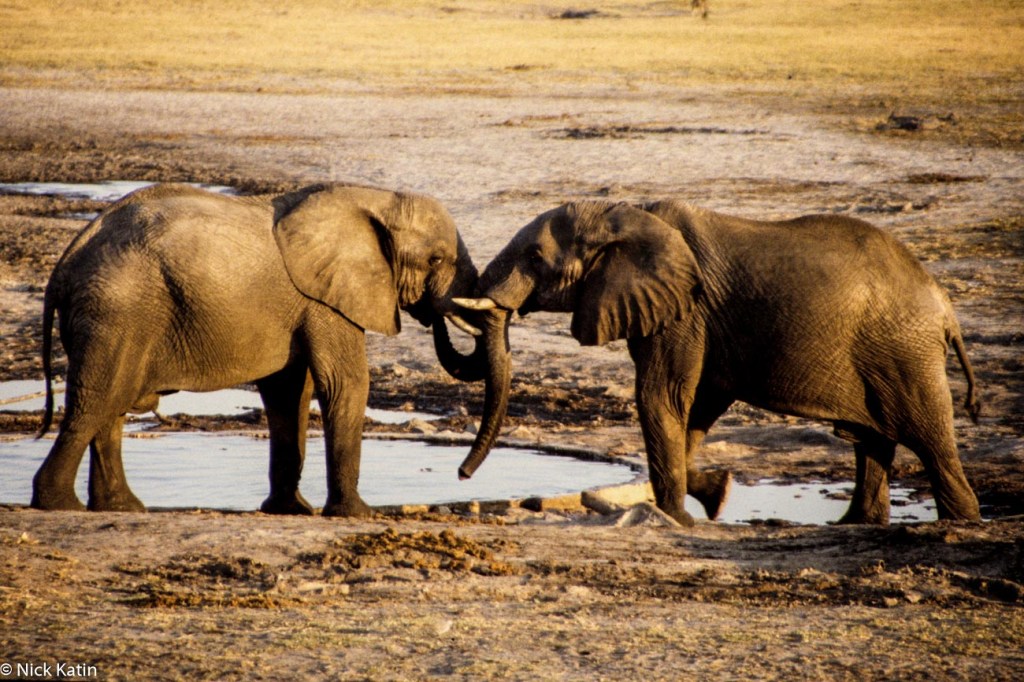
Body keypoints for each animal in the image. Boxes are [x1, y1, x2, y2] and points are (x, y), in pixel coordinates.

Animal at [33, 182, 508, 516]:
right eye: (436, 260)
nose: (462, 475)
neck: (374, 199)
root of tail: (67, 258)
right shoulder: (325, 300)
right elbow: (345, 383)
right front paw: (358, 514)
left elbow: (288, 392)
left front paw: (291, 510)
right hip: (117, 310)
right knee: (97, 400)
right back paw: (58, 504)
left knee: (111, 404)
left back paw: (121, 507)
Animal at [455, 200, 982, 527]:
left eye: (534, 256)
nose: (461, 476)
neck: (623, 213)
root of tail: (946, 309)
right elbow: (694, 408)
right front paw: (713, 493)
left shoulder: (686, 311)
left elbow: (661, 398)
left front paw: (679, 516)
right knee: (873, 441)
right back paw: (854, 523)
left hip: (904, 354)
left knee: (929, 440)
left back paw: (962, 520)